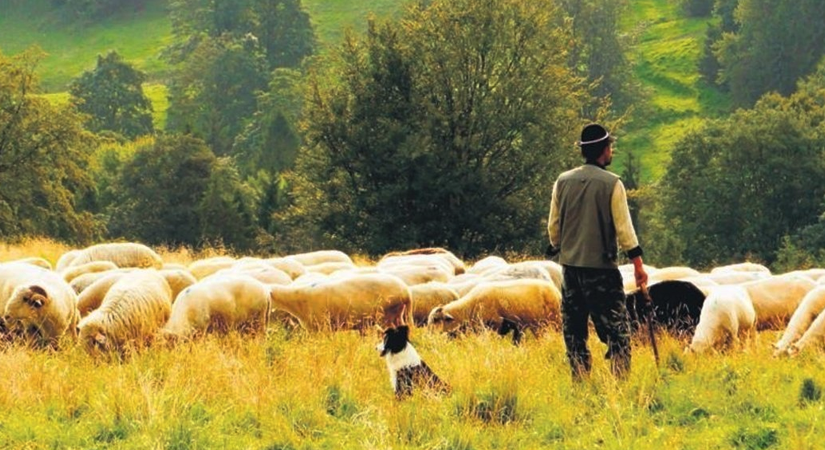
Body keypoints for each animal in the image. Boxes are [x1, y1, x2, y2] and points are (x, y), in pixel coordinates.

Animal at [424, 278, 560, 344]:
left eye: (435, 319)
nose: (428, 337)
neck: (468, 308)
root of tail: (555, 290)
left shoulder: (495, 324)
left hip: (553, 320)